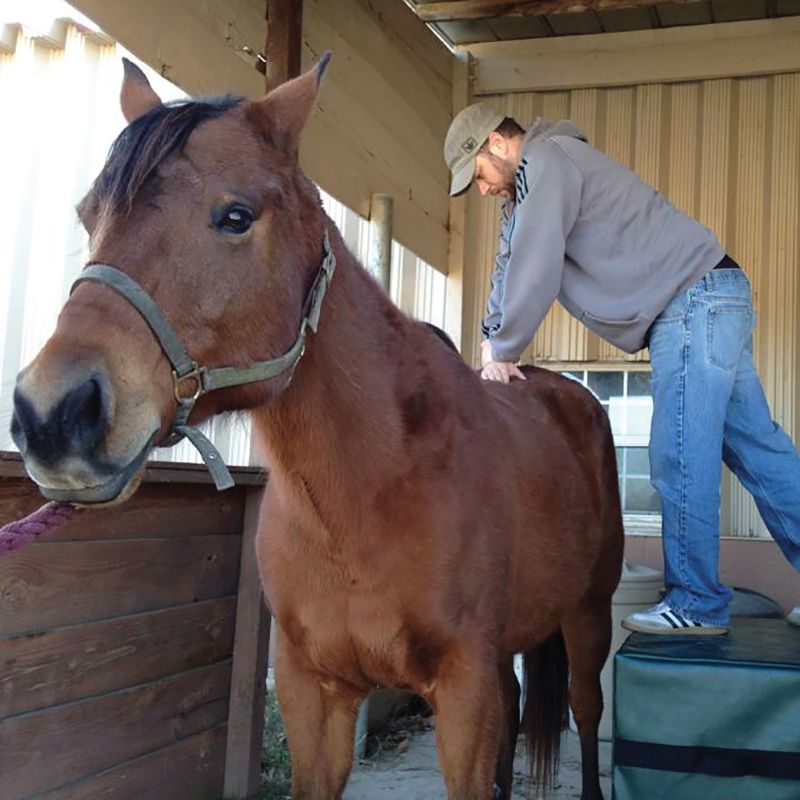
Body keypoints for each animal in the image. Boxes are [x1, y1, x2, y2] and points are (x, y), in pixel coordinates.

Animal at [10, 55, 623, 800]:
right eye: (88, 217)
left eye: (236, 216)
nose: (51, 414)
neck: (365, 500)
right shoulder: (314, 698)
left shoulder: (463, 691)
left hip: (589, 614)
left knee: (587, 712)